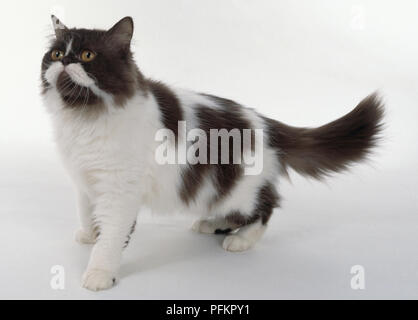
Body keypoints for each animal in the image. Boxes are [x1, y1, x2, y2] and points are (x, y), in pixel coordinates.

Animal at [40, 15, 384, 290]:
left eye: (87, 55)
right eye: (56, 54)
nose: (65, 62)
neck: (84, 119)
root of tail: (267, 124)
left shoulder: (119, 191)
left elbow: (111, 237)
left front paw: (99, 273)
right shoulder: (85, 181)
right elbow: (86, 212)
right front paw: (89, 235)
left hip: (240, 188)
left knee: (266, 207)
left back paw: (241, 240)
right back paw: (211, 224)